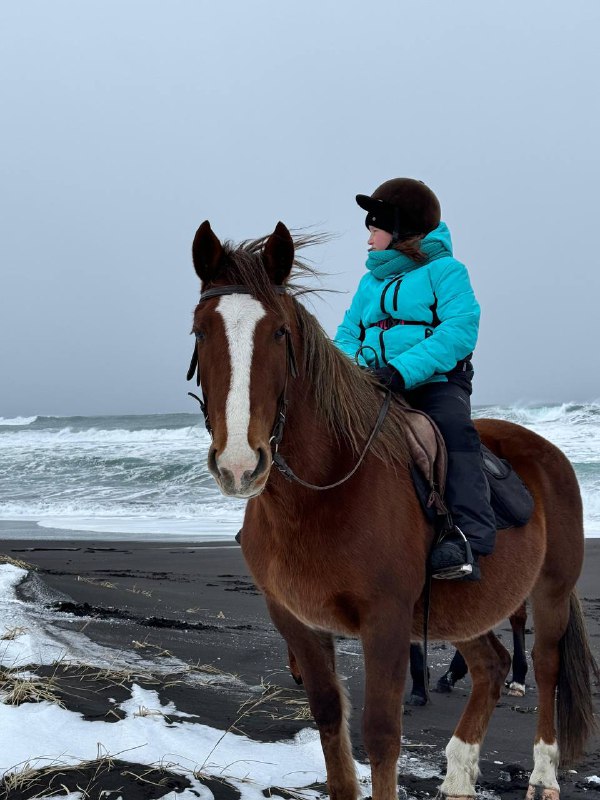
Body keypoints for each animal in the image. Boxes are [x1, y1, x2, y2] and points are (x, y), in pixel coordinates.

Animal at [186, 222, 596, 800]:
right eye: (201, 332)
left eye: (280, 333)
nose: (241, 465)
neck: (321, 496)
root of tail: (548, 452)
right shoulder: (295, 621)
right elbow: (330, 721)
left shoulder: (386, 619)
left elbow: (381, 735)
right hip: (466, 607)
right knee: (491, 668)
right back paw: (459, 775)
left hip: (551, 592)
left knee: (545, 667)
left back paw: (542, 776)